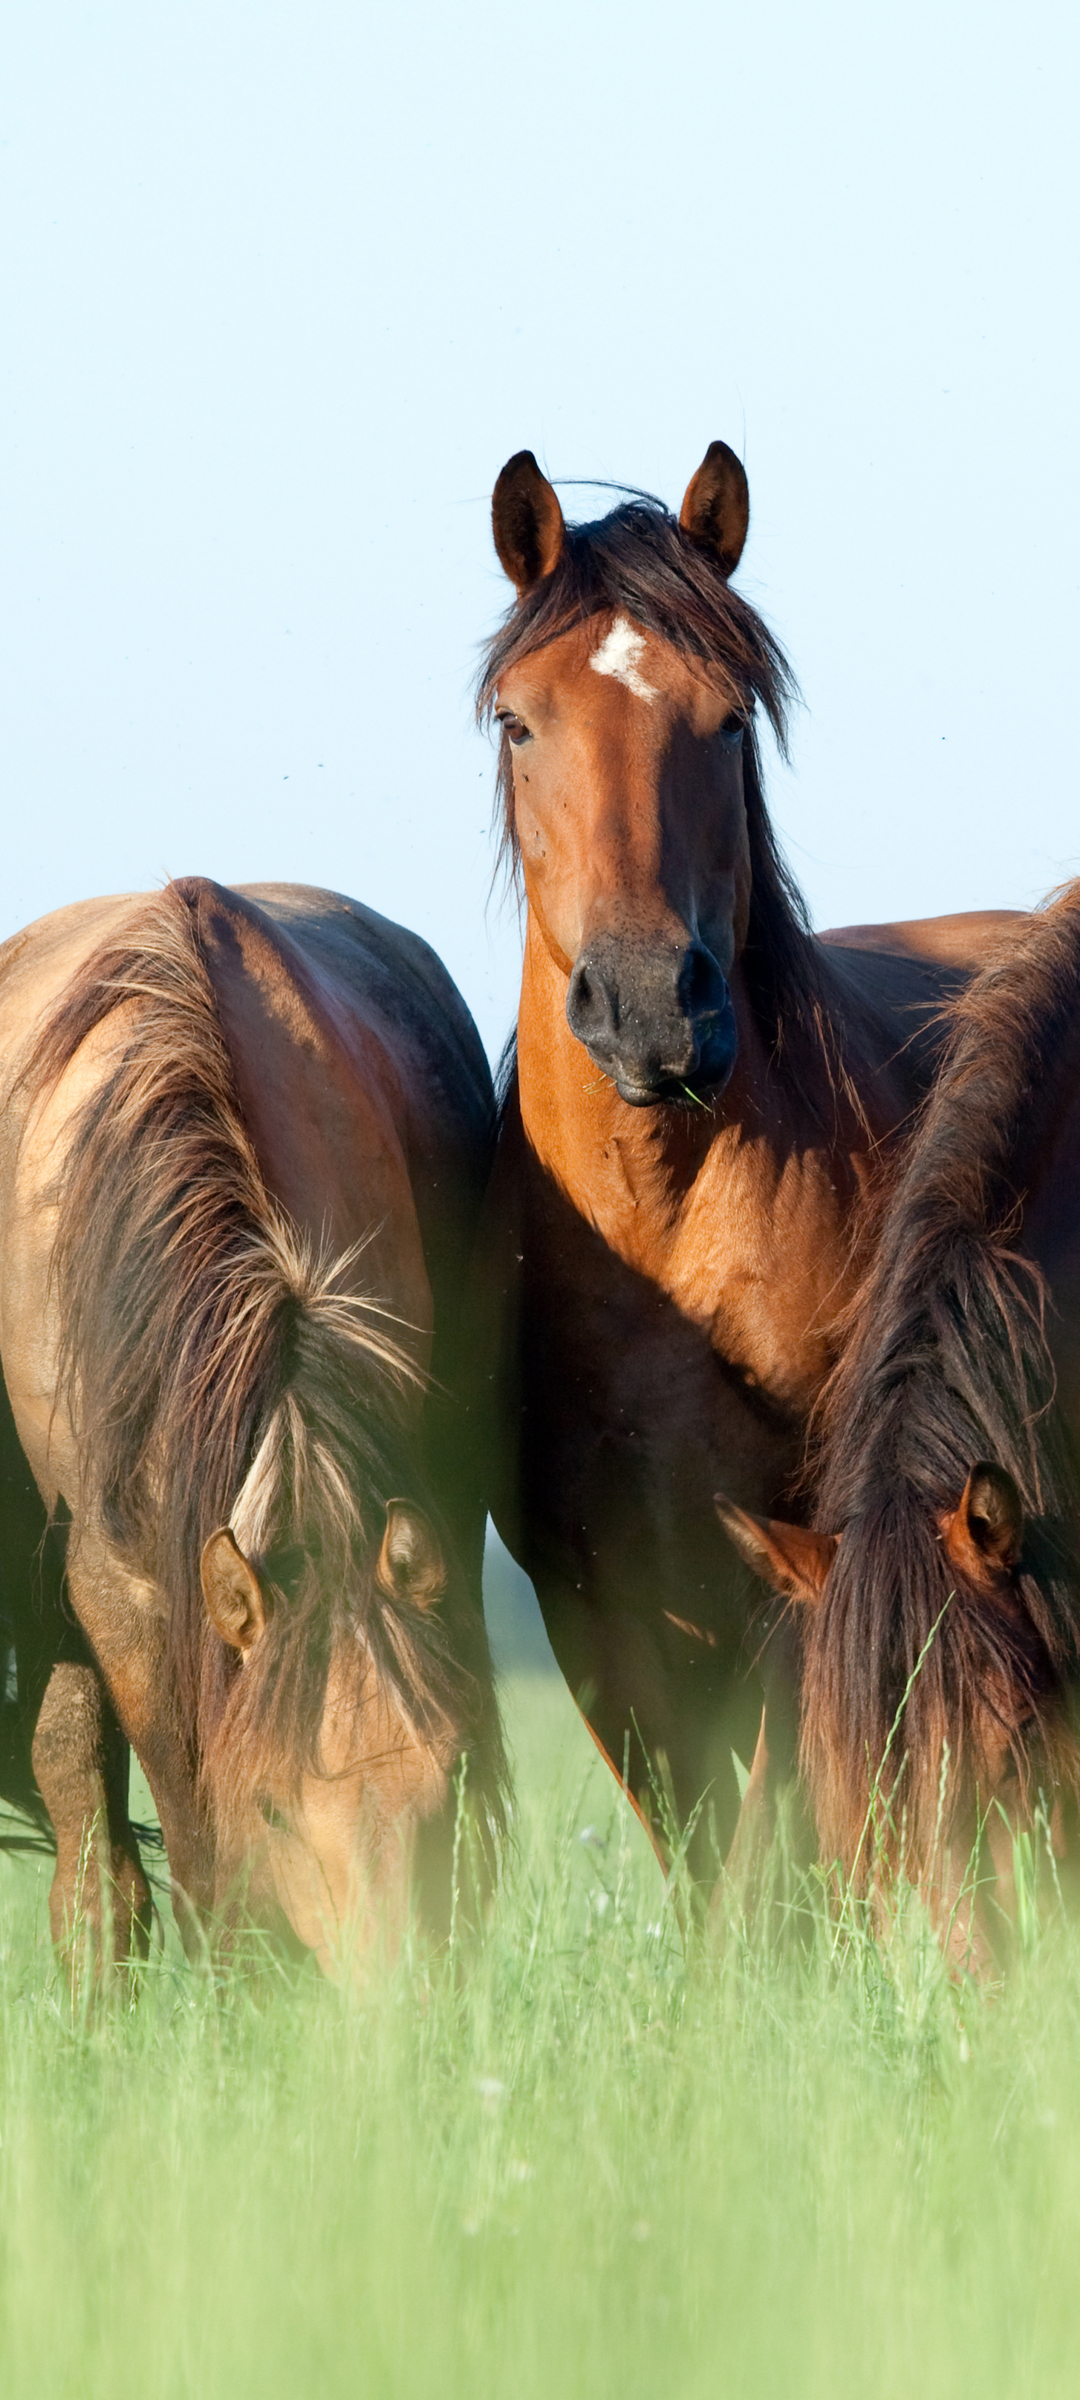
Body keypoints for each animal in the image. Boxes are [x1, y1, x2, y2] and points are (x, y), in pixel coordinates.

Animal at [484, 446, 1027, 1872]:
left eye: (729, 721)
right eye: (517, 722)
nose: (649, 1007)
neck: (665, 1226)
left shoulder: (808, 1566)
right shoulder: (600, 1615)